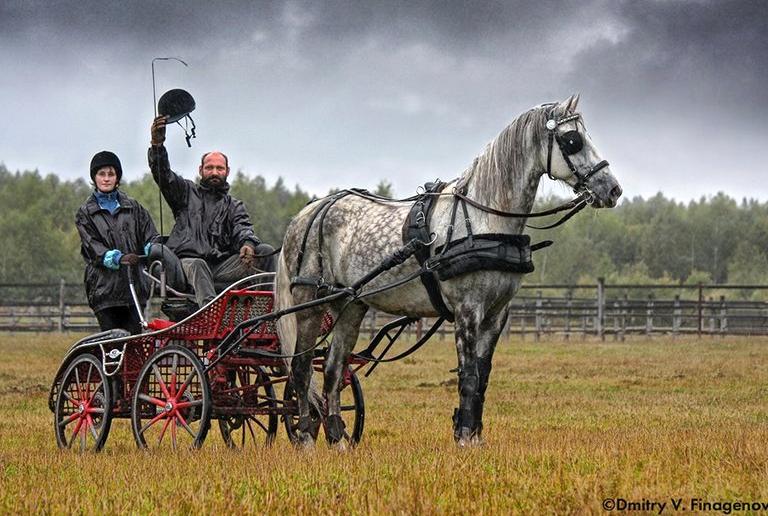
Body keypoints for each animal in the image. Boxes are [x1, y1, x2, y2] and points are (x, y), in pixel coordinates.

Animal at [276, 95, 624, 448]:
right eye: (573, 140)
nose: (613, 190)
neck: (483, 219)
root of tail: (310, 212)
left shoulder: (497, 313)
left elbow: (483, 374)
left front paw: (474, 436)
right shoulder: (467, 310)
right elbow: (468, 374)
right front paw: (465, 438)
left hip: (350, 306)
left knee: (333, 370)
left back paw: (338, 440)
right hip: (310, 304)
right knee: (303, 368)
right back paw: (305, 438)